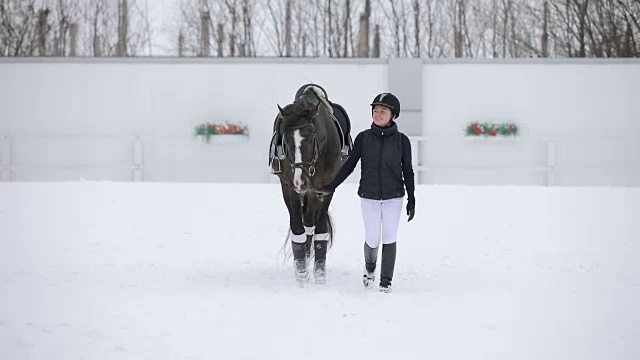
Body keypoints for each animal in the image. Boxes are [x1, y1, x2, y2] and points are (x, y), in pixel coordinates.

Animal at [270, 86, 350, 286]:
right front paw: (301, 271)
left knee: (313, 224)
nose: (301, 181)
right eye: (285, 141)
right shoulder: (289, 186)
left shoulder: (323, 188)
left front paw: (319, 273)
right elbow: (298, 229)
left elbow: (318, 230)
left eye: (312, 137)